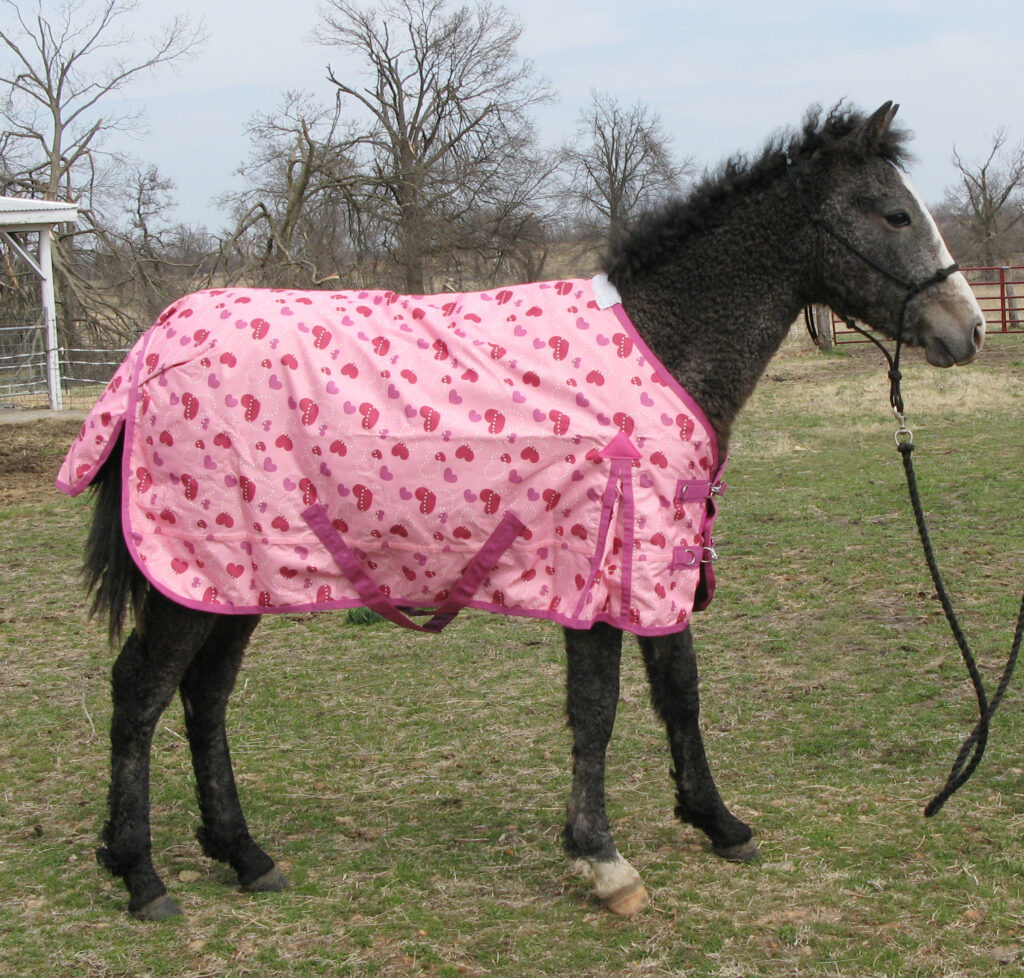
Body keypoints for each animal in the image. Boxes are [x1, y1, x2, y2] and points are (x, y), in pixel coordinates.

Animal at [59, 102, 984, 920]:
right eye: (896, 213)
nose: (966, 329)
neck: (662, 343)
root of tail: (157, 342)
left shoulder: (652, 564)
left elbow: (677, 691)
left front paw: (717, 823)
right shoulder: (602, 573)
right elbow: (600, 709)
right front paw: (604, 862)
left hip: (231, 578)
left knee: (204, 697)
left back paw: (243, 855)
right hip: (193, 575)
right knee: (140, 693)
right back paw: (141, 875)